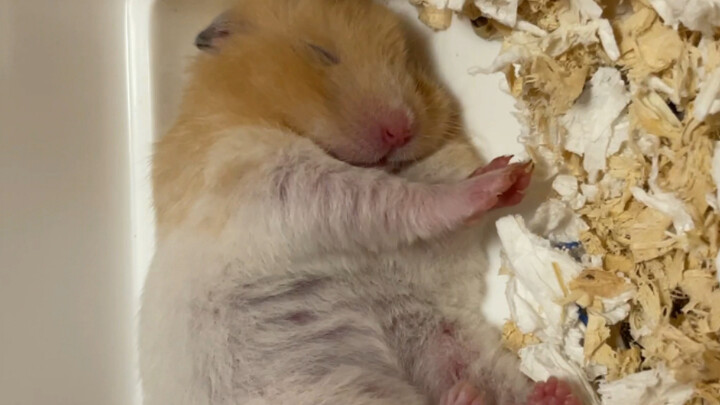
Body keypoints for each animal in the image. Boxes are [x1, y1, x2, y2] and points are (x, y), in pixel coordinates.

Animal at [139, 1, 582, 404]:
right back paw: (470, 397)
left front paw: (512, 174)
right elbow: (394, 200)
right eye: (321, 52)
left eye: (408, 63)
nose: (401, 128)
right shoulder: (275, 183)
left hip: (448, 342)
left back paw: (551, 393)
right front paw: (497, 179)